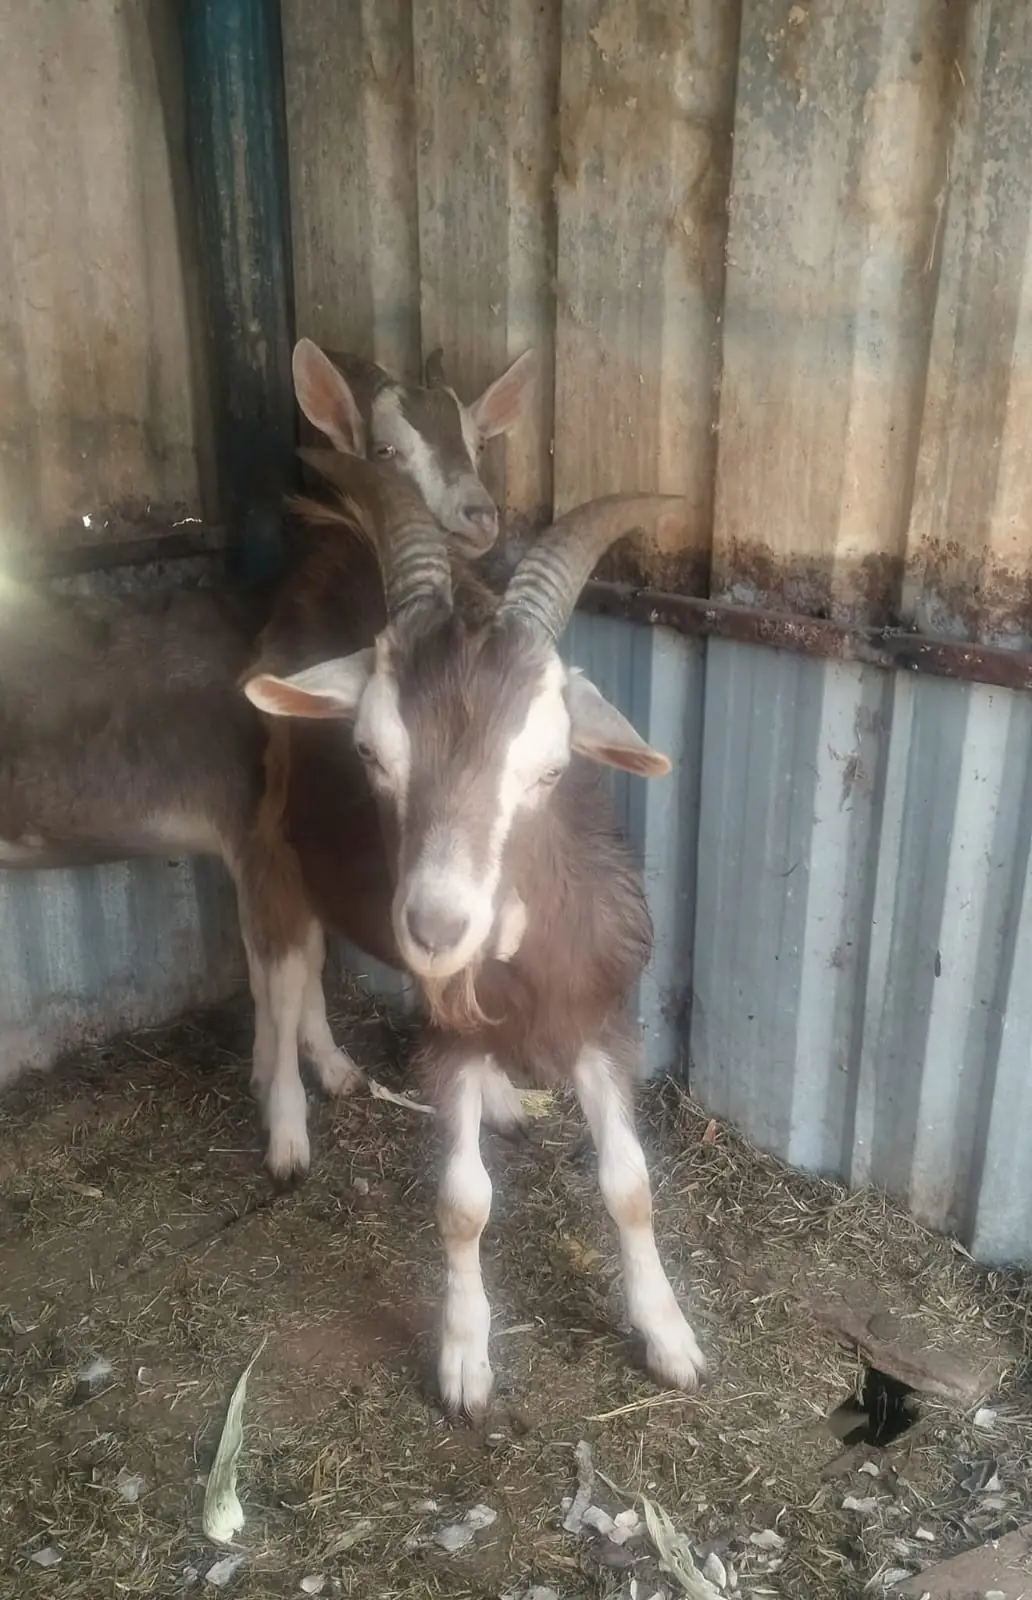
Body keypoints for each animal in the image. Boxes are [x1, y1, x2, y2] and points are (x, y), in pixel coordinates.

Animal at [0, 340, 537, 1185]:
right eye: (384, 452)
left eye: (477, 444)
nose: (479, 513)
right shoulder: (261, 836)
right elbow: (282, 978)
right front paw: (287, 1135)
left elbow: (297, 966)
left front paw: (334, 1071)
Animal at [245, 454, 707, 1411]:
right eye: (371, 754)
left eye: (552, 768)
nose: (435, 925)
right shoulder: (443, 1036)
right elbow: (464, 1202)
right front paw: (464, 1357)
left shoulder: (603, 1020)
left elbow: (631, 1185)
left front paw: (668, 1333)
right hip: (275, 845)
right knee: (283, 966)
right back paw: (287, 1122)